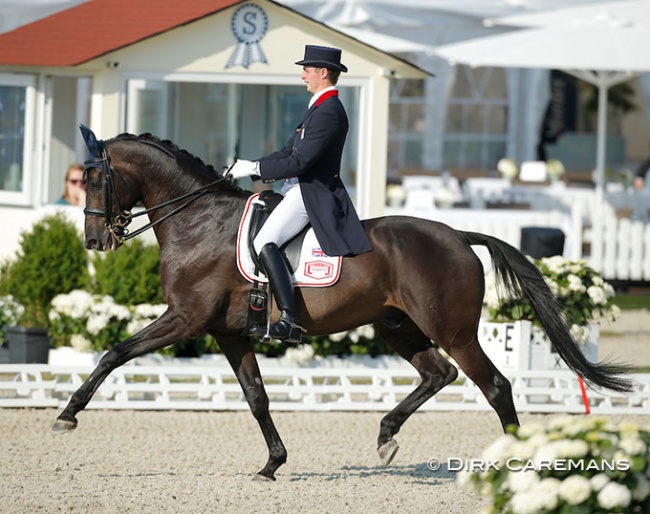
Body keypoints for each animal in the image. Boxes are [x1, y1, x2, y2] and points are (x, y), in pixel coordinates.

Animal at [53, 129, 632, 480]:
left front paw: (67, 416)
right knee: (437, 374)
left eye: (96, 177)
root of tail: (459, 236)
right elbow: (257, 398)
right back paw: (386, 436)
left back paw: (517, 462)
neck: (198, 222)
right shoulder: (228, 333)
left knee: (494, 385)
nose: (94, 240)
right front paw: (273, 464)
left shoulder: (184, 320)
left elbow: (114, 353)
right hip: (396, 326)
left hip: (454, 330)